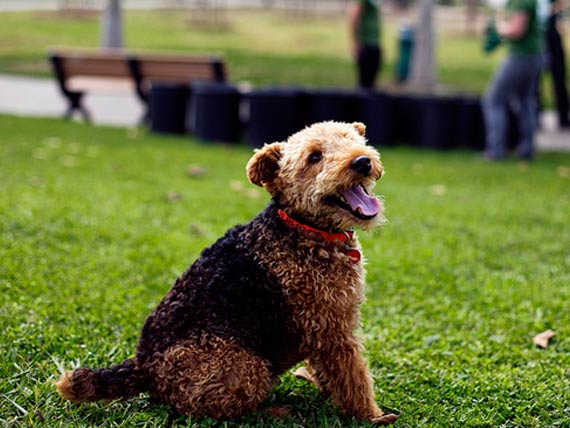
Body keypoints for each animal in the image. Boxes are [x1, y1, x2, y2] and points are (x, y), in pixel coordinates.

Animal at [55, 120, 398, 424]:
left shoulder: (326, 327)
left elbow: (334, 373)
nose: (363, 161)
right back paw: (278, 411)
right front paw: (372, 415)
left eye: (352, 139)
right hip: (243, 366)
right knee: (220, 409)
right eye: (314, 157)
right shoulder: (333, 328)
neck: (304, 229)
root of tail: (143, 364)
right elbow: (354, 377)